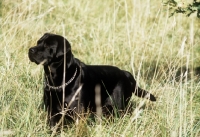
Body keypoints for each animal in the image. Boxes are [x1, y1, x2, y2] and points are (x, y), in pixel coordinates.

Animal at [28, 32, 156, 129]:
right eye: (38, 42)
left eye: (47, 46)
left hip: (118, 107)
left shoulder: (79, 113)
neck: (58, 81)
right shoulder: (53, 112)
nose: (30, 50)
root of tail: (126, 73)